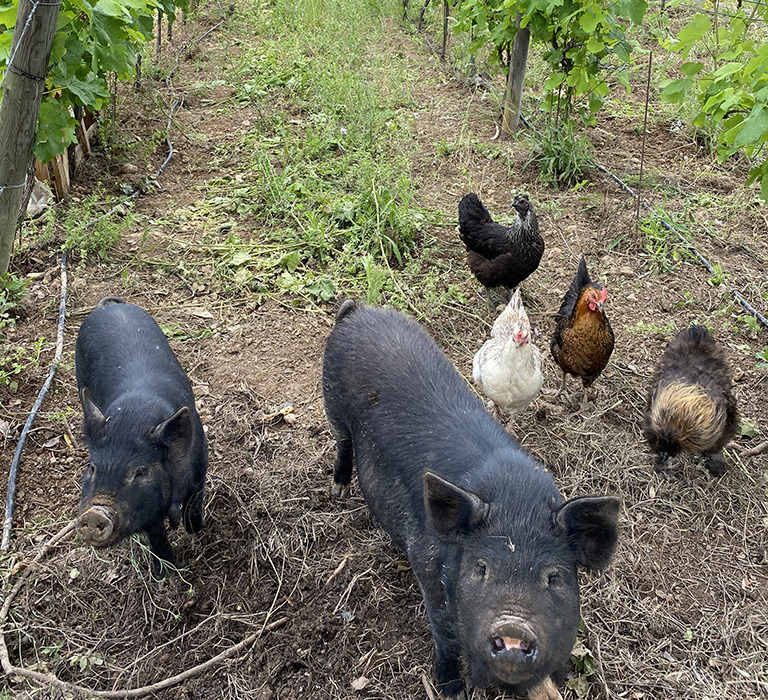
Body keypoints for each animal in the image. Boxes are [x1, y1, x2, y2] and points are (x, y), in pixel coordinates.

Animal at [75, 296, 207, 576]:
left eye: (141, 471)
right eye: (92, 468)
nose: (94, 514)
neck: (134, 417)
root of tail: (109, 307)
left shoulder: (200, 471)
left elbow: (193, 508)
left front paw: (195, 533)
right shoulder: (149, 516)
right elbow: (157, 538)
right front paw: (164, 573)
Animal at [322, 300, 616, 700]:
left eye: (553, 576)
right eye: (481, 567)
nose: (513, 630)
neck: (516, 502)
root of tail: (358, 311)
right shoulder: (428, 565)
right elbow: (445, 635)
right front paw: (452, 690)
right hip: (333, 404)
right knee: (342, 441)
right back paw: (338, 489)